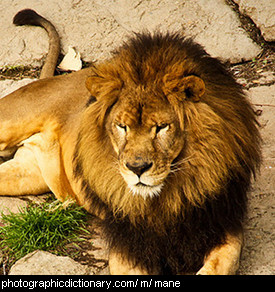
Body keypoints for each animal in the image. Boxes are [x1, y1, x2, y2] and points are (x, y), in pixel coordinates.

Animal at [0, 9, 264, 274]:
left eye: (161, 127)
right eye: (122, 126)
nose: (137, 168)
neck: (169, 195)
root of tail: (55, 79)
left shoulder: (225, 225)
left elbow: (218, 265)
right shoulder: (127, 244)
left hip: (27, 175)